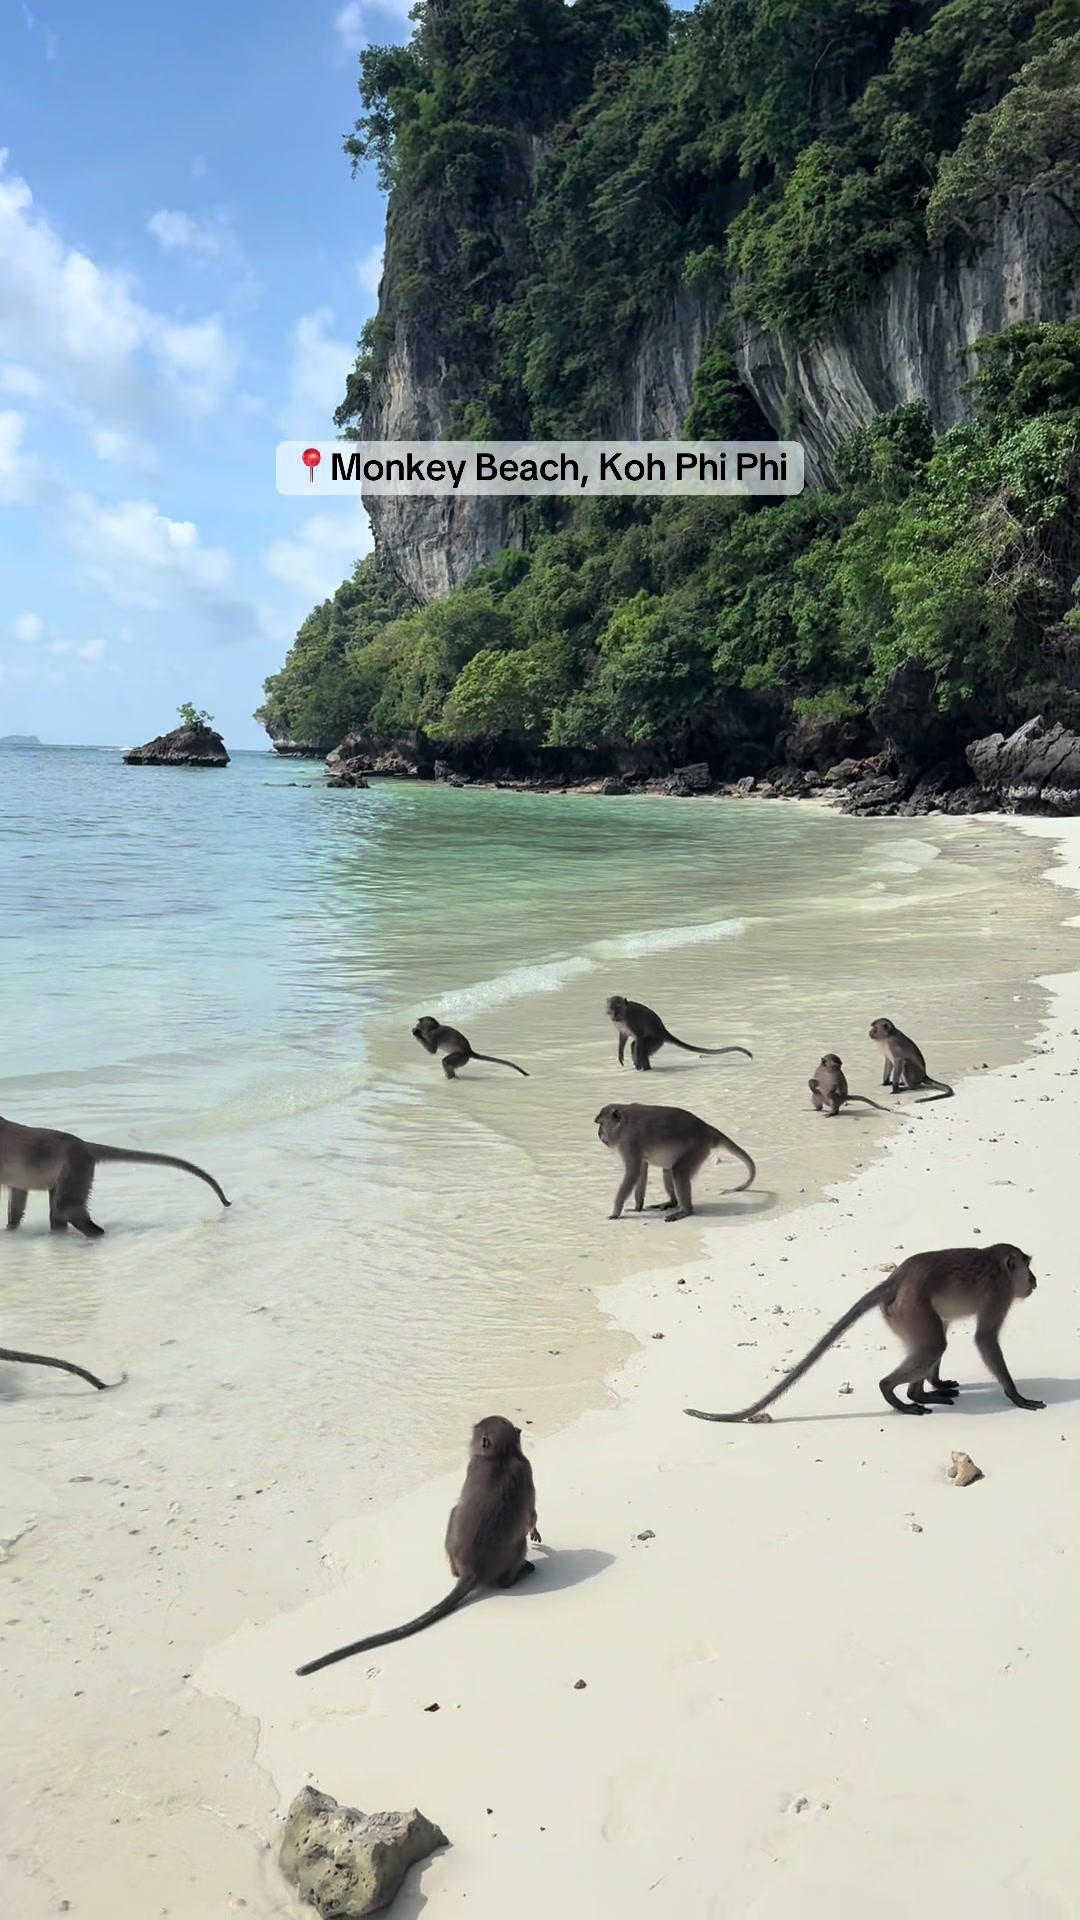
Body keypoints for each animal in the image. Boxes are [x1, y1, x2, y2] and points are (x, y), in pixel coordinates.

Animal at [0, 1115, 230, 1238]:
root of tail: (83, 1145)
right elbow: (18, 1193)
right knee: (56, 1212)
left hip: (76, 1167)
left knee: (66, 1209)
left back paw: (95, 1234)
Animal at [296, 1415, 541, 1675]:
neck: (500, 1457)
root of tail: (470, 1570)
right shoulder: (524, 1467)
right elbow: (530, 1515)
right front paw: (534, 1530)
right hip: (510, 1552)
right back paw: (519, 1573)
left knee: (455, 1512)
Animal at [595, 1102, 755, 1222]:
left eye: (601, 1124)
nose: (599, 1133)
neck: (623, 1123)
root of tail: (706, 1129)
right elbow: (641, 1170)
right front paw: (637, 1207)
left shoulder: (629, 1140)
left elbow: (633, 1173)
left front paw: (616, 1211)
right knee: (668, 1170)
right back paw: (672, 1202)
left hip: (697, 1149)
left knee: (678, 1171)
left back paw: (686, 1211)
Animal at [605, 995, 752, 1073]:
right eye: (612, 1008)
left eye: (618, 1008)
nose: (614, 1015)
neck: (623, 1018)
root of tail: (664, 1031)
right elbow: (623, 1037)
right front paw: (620, 1054)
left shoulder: (633, 1021)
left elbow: (640, 1038)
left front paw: (637, 1062)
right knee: (634, 1045)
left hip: (656, 1040)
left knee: (642, 1047)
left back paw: (644, 1067)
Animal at [685, 1243, 1044, 1422]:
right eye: (1027, 1266)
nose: (1035, 1280)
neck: (996, 1263)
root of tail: (896, 1279)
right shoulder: (1000, 1293)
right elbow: (984, 1339)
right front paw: (1016, 1396)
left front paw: (936, 1382)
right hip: (910, 1308)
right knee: (932, 1345)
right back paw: (895, 1393)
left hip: (903, 1312)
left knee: (932, 1340)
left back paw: (920, 1393)